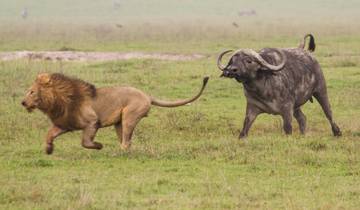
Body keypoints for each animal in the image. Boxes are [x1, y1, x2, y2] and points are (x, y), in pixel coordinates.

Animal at [21, 72, 208, 154]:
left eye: (32, 92)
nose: (22, 102)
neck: (59, 101)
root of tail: (146, 95)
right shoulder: (64, 123)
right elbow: (49, 134)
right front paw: (48, 149)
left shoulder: (92, 122)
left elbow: (85, 142)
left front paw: (99, 146)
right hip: (119, 123)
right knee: (126, 141)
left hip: (129, 116)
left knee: (126, 141)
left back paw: (118, 153)